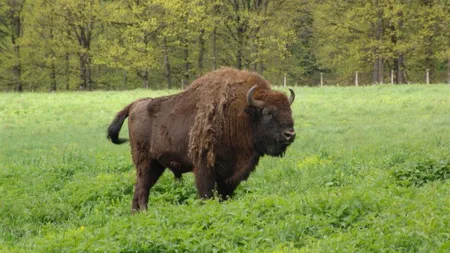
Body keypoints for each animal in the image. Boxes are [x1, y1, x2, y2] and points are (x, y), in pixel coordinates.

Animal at [107, 67, 298, 211]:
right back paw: (144, 213)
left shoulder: (230, 176)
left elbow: (224, 195)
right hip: (145, 162)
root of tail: (135, 105)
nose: (290, 134)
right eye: (268, 113)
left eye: (289, 110)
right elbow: (206, 195)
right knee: (142, 189)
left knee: (140, 188)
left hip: (156, 164)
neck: (242, 114)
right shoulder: (204, 168)